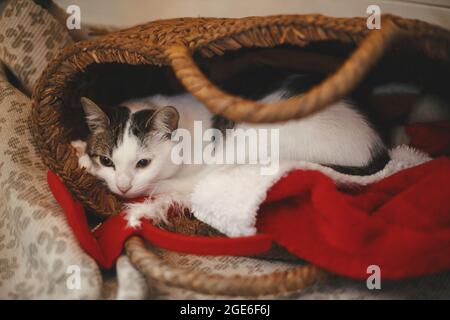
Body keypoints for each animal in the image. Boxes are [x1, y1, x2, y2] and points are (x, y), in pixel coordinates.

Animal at [72, 74, 388, 228]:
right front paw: (81, 151)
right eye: (107, 160)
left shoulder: (188, 177)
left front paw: (83, 161)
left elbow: (157, 186)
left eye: (143, 163)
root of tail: (376, 145)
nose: (122, 186)